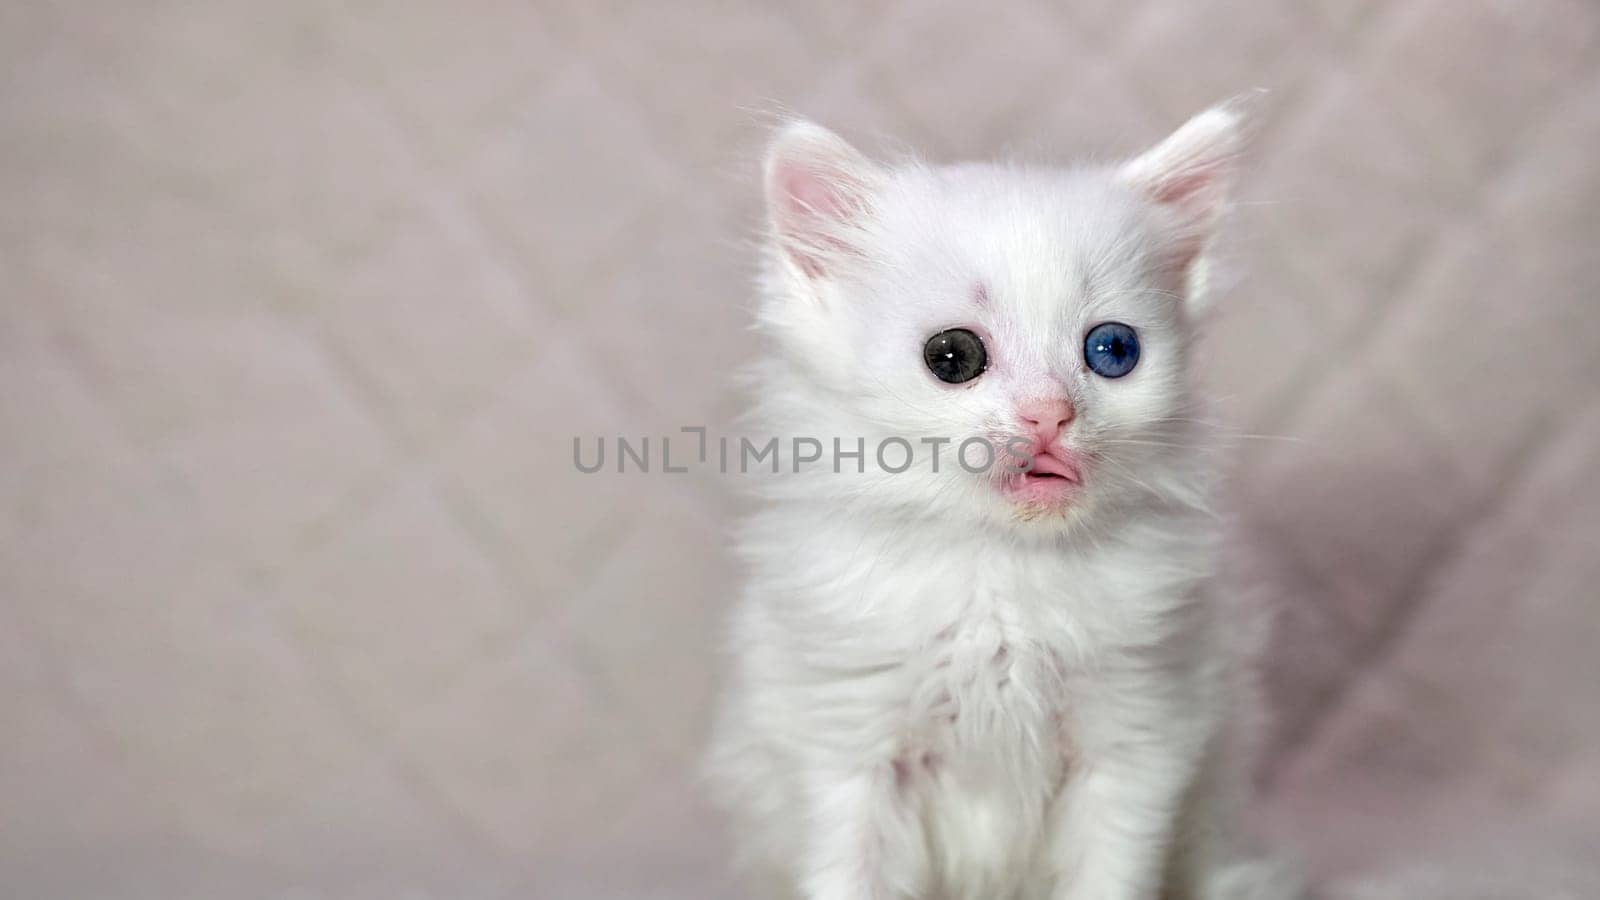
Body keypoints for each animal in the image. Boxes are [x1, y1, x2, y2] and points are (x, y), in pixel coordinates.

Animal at [707, 99, 1292, 896]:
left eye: (1114, 350)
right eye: (952, 357)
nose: (1050, 413)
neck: (999, 570)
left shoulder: (1137, 739)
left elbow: (1110, 874)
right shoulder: (849, 746)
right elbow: (853, 871)